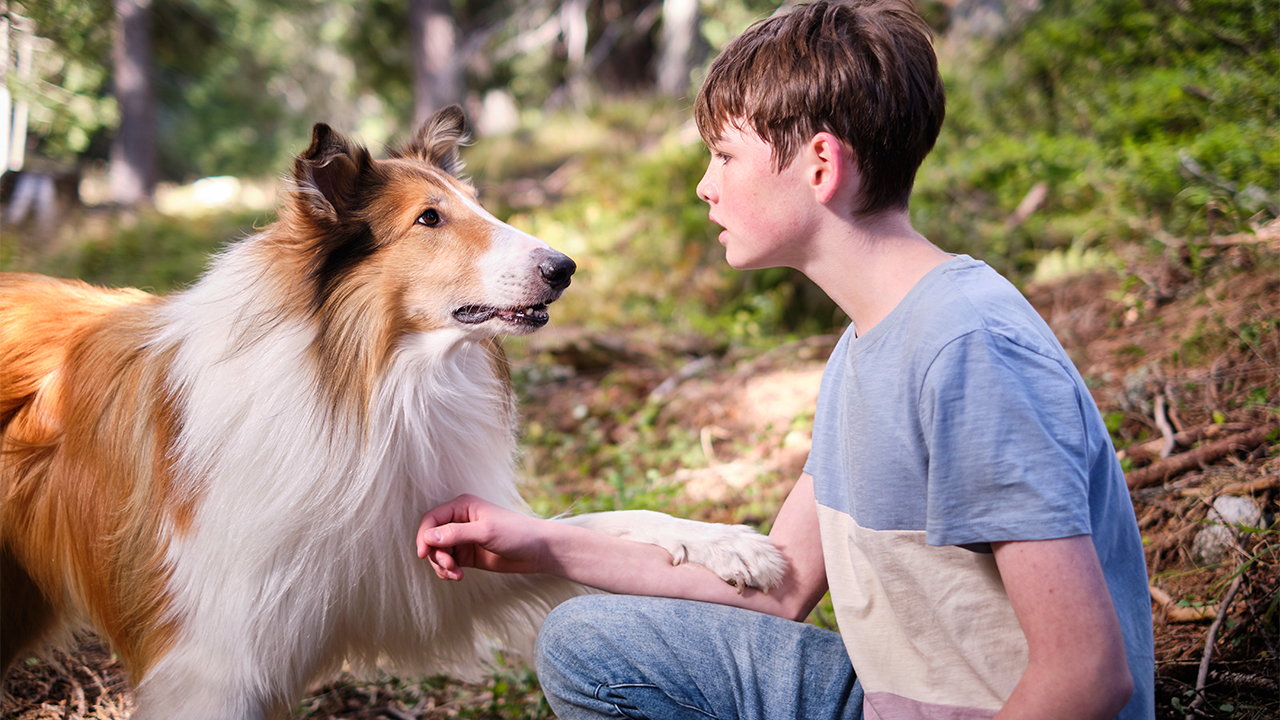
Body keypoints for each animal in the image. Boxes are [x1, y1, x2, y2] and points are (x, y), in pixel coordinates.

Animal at [0, 106, 783, 717]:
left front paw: (728, 544)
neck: (367, 385)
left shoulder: (420, 566)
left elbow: (605, 525)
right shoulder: (209, 667)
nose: (564, 268)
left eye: (475, 205)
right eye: (428, 219)